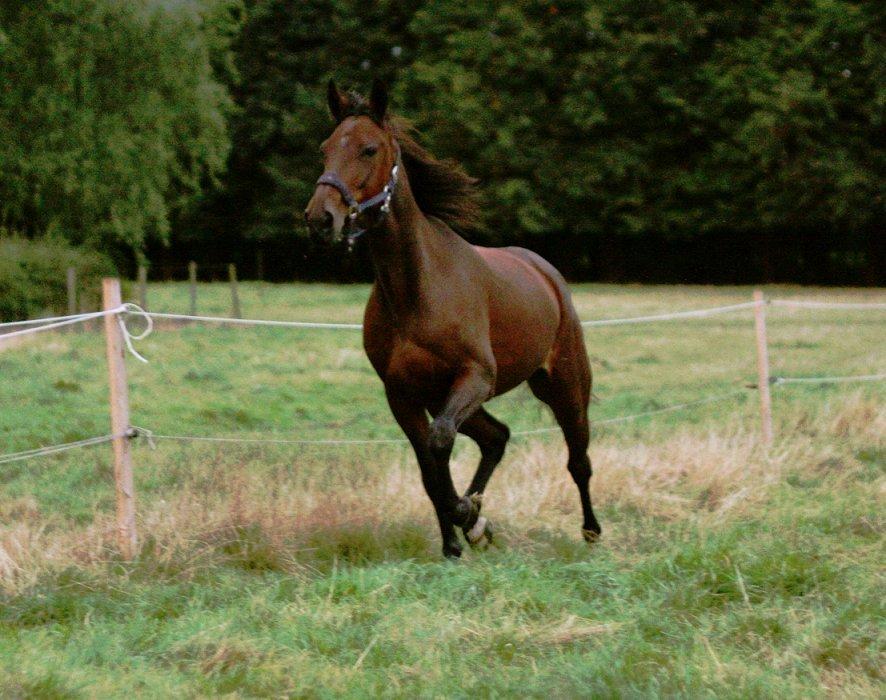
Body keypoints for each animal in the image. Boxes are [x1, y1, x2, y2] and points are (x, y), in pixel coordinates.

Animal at [306, 80, 604, 556]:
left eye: (369, 149)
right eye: (325, 148)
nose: (320, 218)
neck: (418, 290)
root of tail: (545, 273)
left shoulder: (476, 376)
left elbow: (440, 441)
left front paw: (468, 517)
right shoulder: (404, 395)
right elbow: (430, 466)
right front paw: (457, 538)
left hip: (565, 387)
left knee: (578, 458)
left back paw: (590, 531)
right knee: (497, 437)